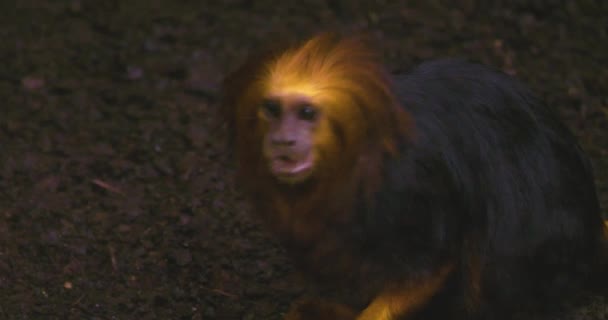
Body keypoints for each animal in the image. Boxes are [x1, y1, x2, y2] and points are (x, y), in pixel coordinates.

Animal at [218, 33, 608, 320]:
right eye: (272, 110)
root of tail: (590, 233)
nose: (282, 140)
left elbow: (433, 262)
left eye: (306, 113)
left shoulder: (408, 182)